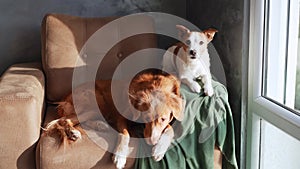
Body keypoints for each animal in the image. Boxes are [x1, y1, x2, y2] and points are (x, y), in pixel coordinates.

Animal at [43, 69, 184, 169]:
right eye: (145, 118)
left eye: (163, 119)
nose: (152, 142)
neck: (156, 85)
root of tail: (64, 98)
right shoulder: (120, 117)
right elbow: (125, 134)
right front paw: (119, 157)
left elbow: (170, 129)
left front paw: (159, 149)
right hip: (96, 102)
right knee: (64, 120)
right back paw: (74, 132)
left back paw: (98, 125)